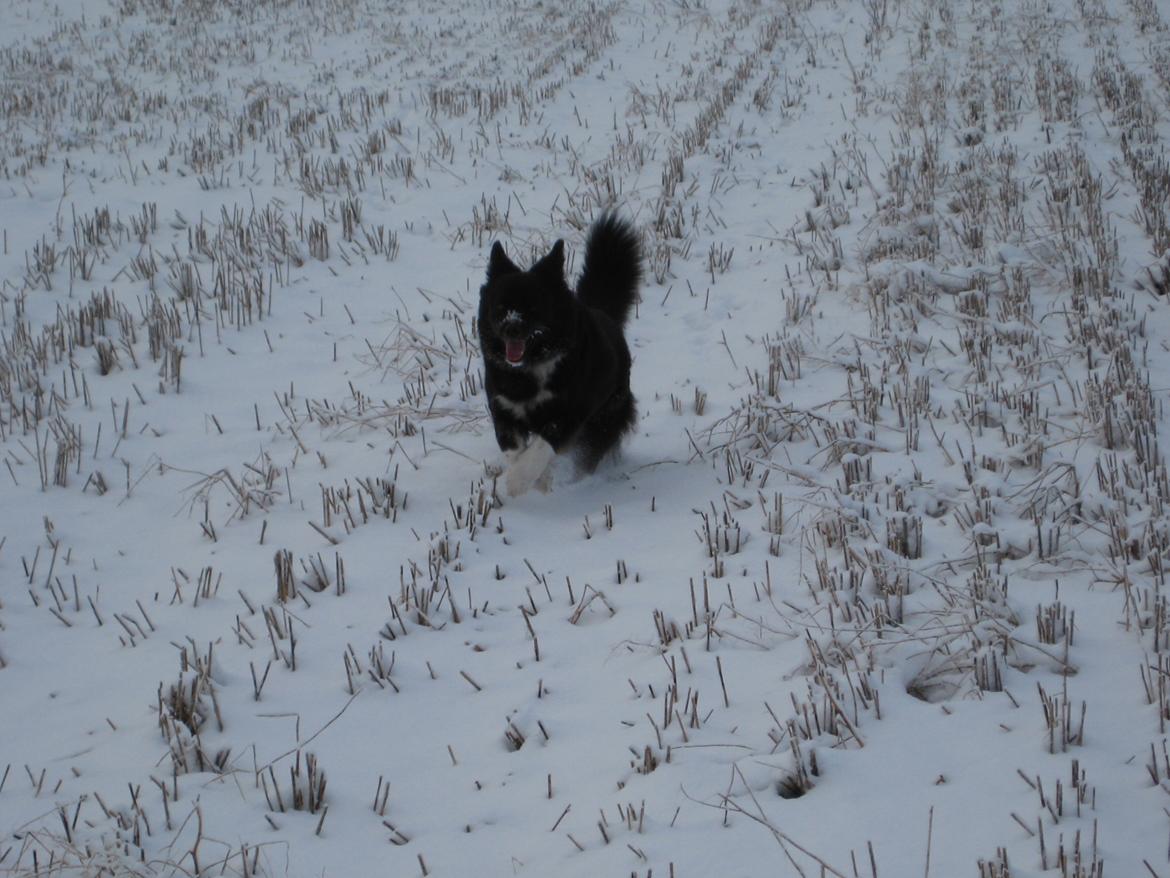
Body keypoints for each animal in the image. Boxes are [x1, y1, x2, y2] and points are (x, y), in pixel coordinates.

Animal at [475, 214, 641, 496]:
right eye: (500, 307)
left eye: (532, 306)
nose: (511, 327)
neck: (529, 370)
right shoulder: (504, 411)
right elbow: (514, 451)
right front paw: (539, 480)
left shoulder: (570, 412)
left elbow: (541, 447)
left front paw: (518, 482)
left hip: (605, 418)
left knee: (588, 455)